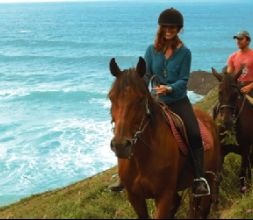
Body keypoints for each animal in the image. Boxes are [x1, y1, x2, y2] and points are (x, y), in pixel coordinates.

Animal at [108, 57, 221, 219]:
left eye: (141, 99)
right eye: (111, 97)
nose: (120, 146)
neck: (143, 158)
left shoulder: (164, 196)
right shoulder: (135, 197)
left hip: (210, 175)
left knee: (204, 205)